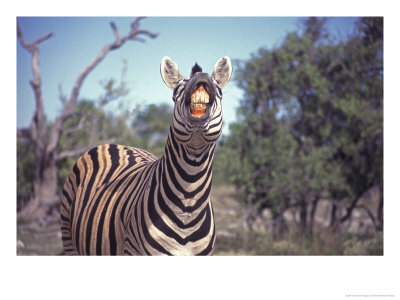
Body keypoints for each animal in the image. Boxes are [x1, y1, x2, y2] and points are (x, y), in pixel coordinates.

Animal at [61, 56, 233, 255]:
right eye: (176, 92)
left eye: (220, 91)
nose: (201, 76)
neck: (187, 206)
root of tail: (114, 144)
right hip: (69, 239)